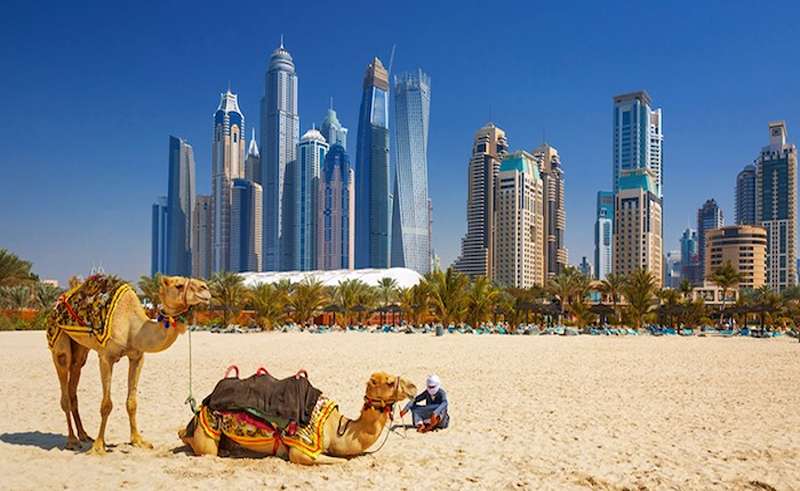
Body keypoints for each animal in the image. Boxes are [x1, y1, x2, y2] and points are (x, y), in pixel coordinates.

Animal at [48, 275, 210, 454]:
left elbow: (132, 403)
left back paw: (83, 435)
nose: (205, 288)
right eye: (179, 285)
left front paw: (138, 440)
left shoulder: (137, 357)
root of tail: (57, 304)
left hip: (80, 349)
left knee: (74, 381)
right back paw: (72, 440)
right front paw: (99, 446)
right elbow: (106, 404)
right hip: (58, 340)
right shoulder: (106, 357)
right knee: (64, 382)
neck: (133, 328)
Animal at [179, 372, 416, 465]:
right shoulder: (301, 450)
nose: (413, 387)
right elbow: (336, 460)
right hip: (208, 434)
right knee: (204, 449)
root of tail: (204, 403)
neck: (335, 428)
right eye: (389, 382)